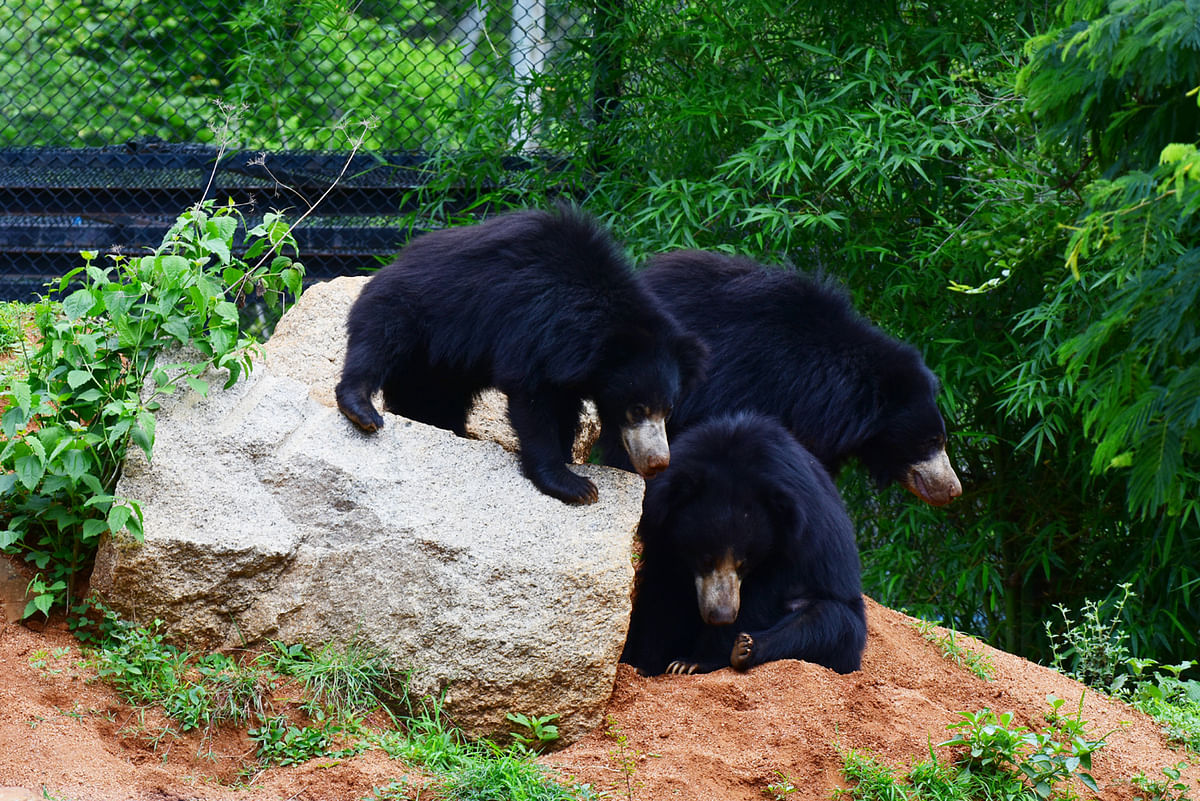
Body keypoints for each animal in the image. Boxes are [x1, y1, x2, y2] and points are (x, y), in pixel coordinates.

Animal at [333, 206, 705, 506]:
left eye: (668, 410)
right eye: (636, 409)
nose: (658, 462)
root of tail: (396, 259)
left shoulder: (568, 369)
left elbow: (563, 410)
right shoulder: (532, 323)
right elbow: (531, 400)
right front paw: (576, 486)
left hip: (440, 369)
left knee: (433, 401)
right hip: (414, 308)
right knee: (377, 341)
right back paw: (362, 410)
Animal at [624, 412, 868, 676]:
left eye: (744, 564)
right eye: (705, 559)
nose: (721, 615)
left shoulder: (795, 544)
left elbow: (761, 599)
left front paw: (693, 661)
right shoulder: (662, 536)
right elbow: (662, 594)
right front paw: (645, 663)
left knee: (829, 622)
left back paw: (745, 649)